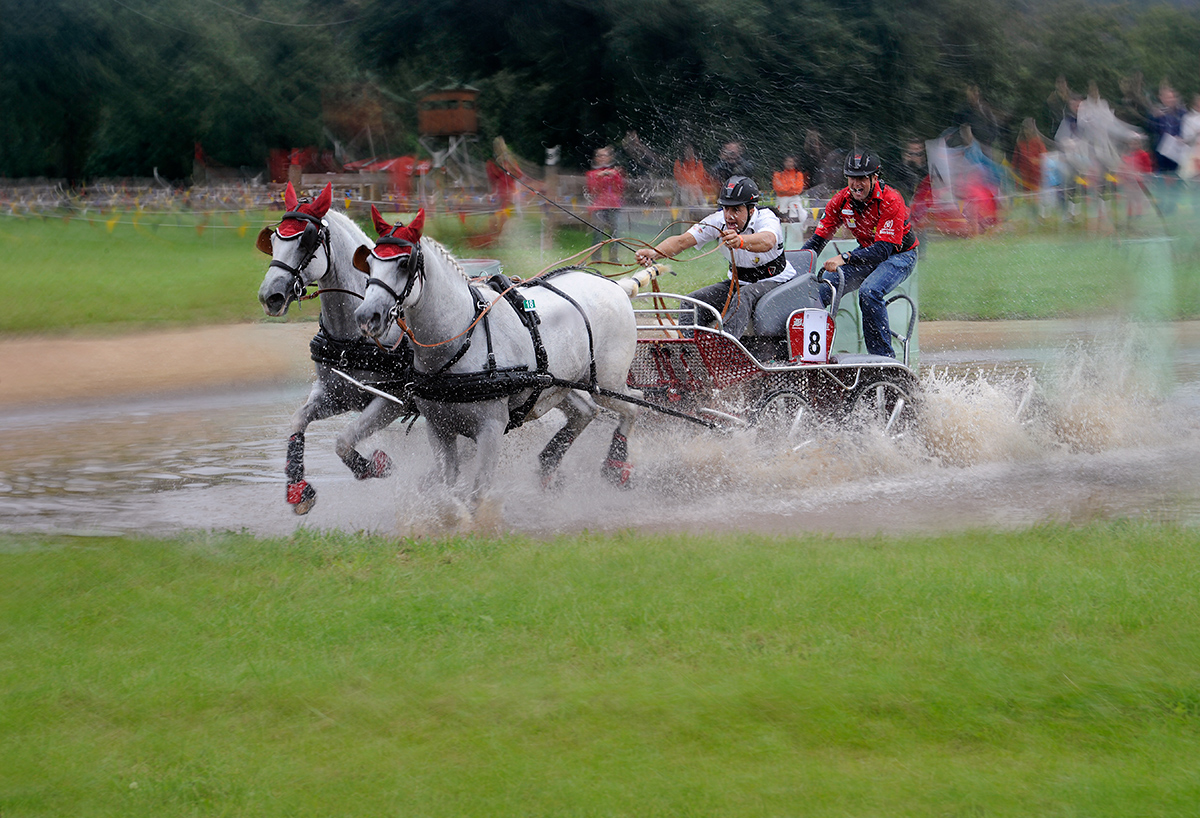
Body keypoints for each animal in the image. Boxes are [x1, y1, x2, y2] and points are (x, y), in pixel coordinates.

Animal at [256, 185, 412, 515]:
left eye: (305, 241)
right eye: (273, 240)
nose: (269, 297)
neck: (353, 341)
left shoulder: (393, 400)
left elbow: (343, 441)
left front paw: (375, 465)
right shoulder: (336, 394)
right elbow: (298, 420)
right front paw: (298, 490)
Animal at [350, 207, 643, 513]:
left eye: (404, 263)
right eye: (368, 262)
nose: (367, 317)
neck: (462, 339)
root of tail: (615, 285)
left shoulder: (490, 430)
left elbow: (478, 495)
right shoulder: (438, 428)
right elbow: (447, 486)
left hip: (607, 383)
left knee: (634, 403)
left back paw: (616, 464)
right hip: (557, 384)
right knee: (586, 412)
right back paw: (549, 464)